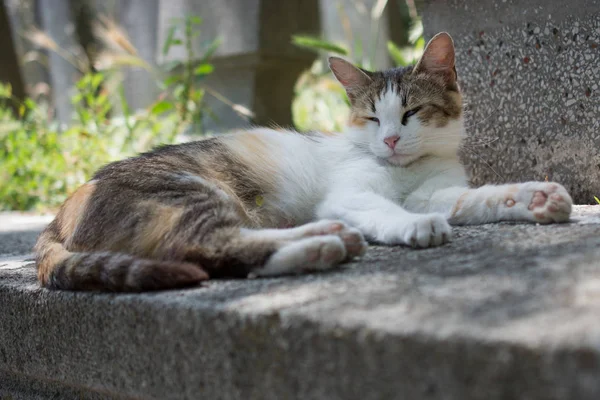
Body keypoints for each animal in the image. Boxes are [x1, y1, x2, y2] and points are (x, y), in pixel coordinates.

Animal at [34, 32, 572, 292]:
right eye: (372, 118)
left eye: (412, 113)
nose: (391, 140)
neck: (405, 170)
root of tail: (62, 212)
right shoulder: (350, 193)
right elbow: (384, 208)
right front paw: (415, 227)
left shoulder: (435, 191)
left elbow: (472, 199)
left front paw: (534, 196)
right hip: (189, 190)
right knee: (206, 248)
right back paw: (321, 244)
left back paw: (322, 241)